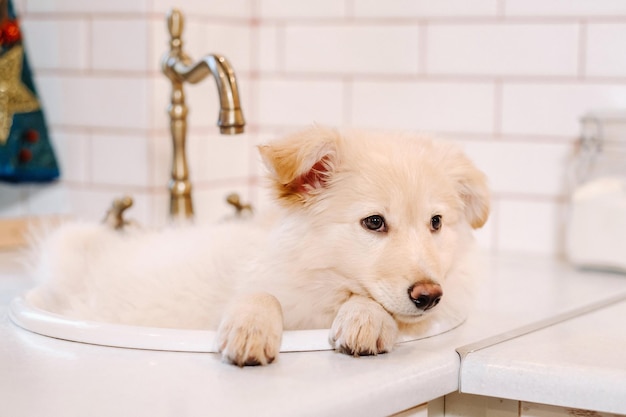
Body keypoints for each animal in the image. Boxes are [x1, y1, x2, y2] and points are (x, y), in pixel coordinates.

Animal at [29, 126, 488, 364]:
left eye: (436, 223)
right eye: (374, 222)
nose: (429, 296)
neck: (322, 284)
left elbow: (372, 303)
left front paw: (366, 319)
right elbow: (262, 293)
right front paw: (250, 329)